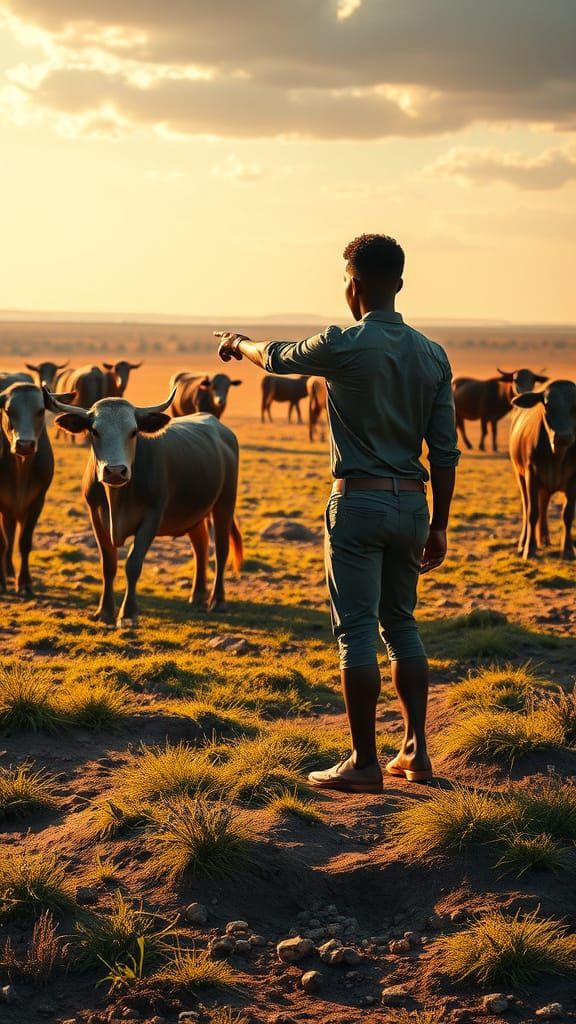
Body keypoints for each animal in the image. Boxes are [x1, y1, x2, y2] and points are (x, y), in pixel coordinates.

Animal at [0, 383, 73, 595]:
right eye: (9, 410)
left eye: (40, 411)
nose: (25, 444)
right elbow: (2, 542)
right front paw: (1, 582)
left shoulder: (37, 501)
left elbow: (24, 542)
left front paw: (24, 583)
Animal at [45, 388, 243, 626]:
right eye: (94, 430)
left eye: (133, 431)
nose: (115, 471)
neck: (117, 500)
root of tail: (220, 428)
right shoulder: (96, 517)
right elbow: (108, 564)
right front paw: (104, 612)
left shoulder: (151, 519)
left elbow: (133, 564)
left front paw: (128, 613)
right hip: (195, 513)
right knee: (201, 545)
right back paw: (197, 595)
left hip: (224, 503)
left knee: (221, 550)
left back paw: (217, 601)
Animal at [510, 379, 576, 561]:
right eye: (547, 405)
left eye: (575, 405)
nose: (563, 437)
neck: (556, 457)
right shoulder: (531, 475)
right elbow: (532, 513)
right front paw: (529, 548)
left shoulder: (573, 480)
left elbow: (567, 514)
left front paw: (568, 550)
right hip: (520, 476)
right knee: (527, 507)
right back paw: (523, 543)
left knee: (544, 504)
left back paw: (545, 539)